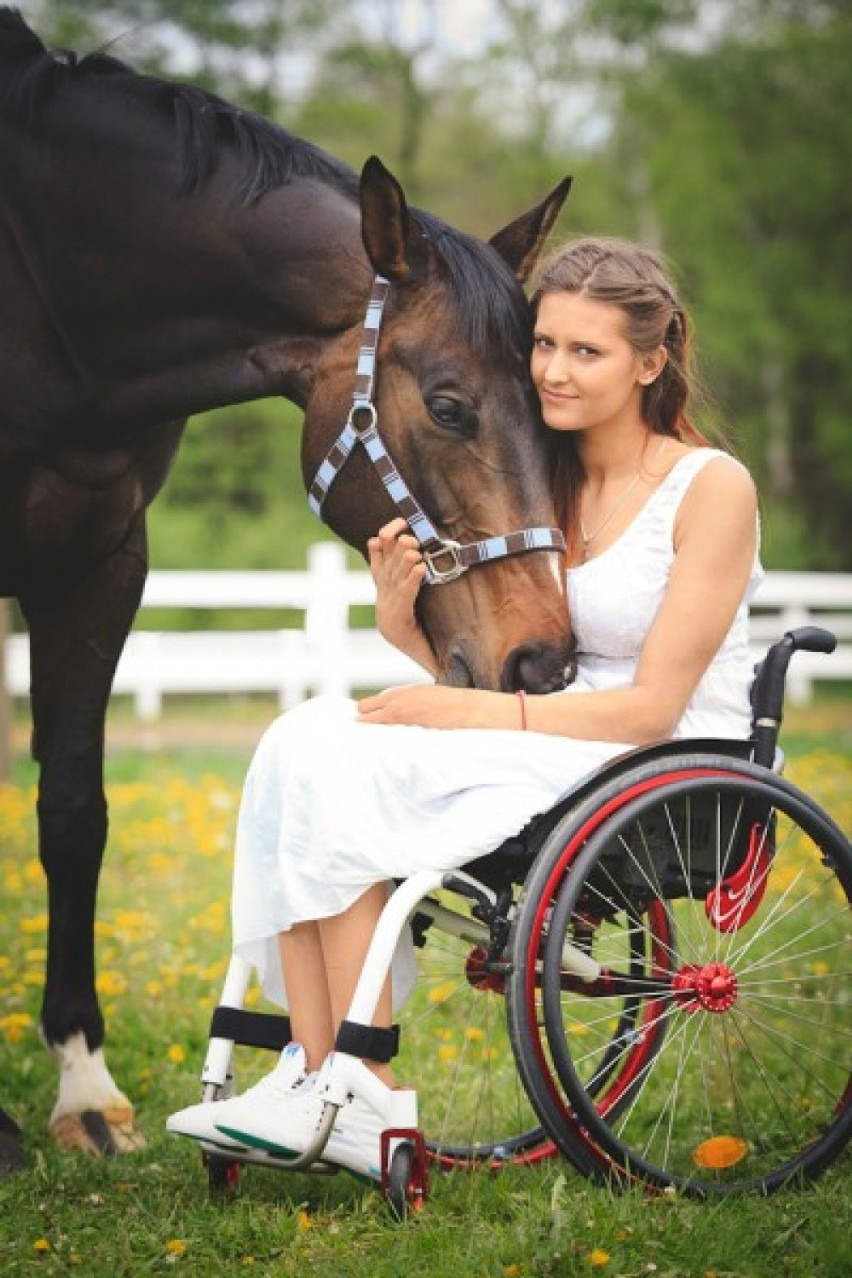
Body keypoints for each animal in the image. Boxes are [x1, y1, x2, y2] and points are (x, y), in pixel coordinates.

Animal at [0, 9, 572, 1170]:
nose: (542, 659)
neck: (52, 292)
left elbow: (73, 812)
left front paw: (85, 1092)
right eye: (448, 406)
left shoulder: (101, 561)